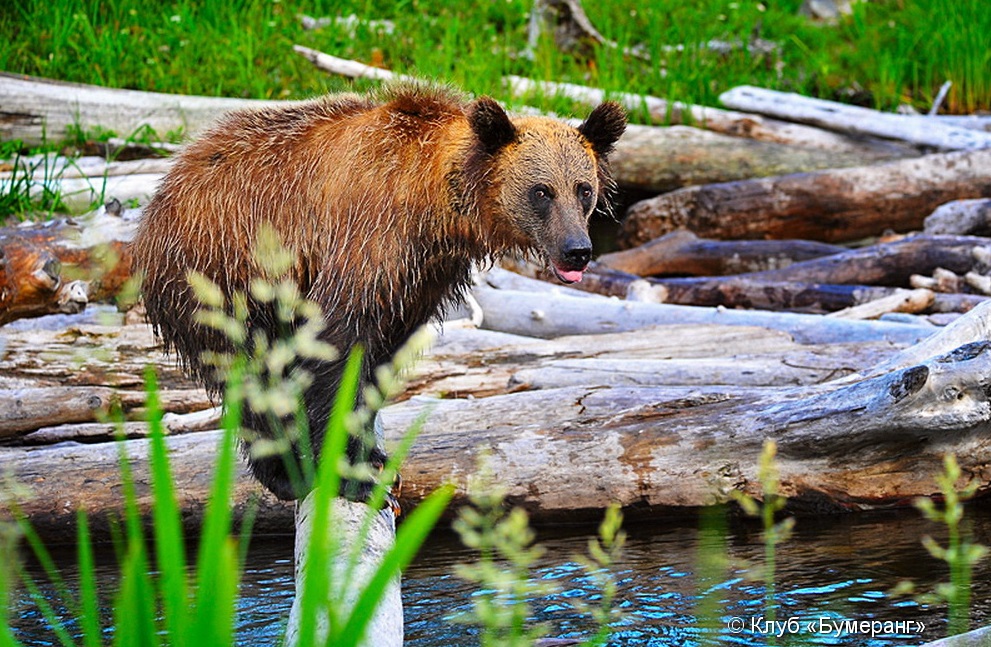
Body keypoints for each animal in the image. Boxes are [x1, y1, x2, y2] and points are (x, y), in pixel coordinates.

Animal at [132, 85, 628, 502]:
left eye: (583, 188)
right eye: (541, 191)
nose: (577, 250)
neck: (433, 202)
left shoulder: (422, 277)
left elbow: (381, 355)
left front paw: (371, 451)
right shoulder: (365, 239)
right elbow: (338, 347)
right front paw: (349, 474)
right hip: (222, 276)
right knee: (253, 377)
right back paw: (285, 473)